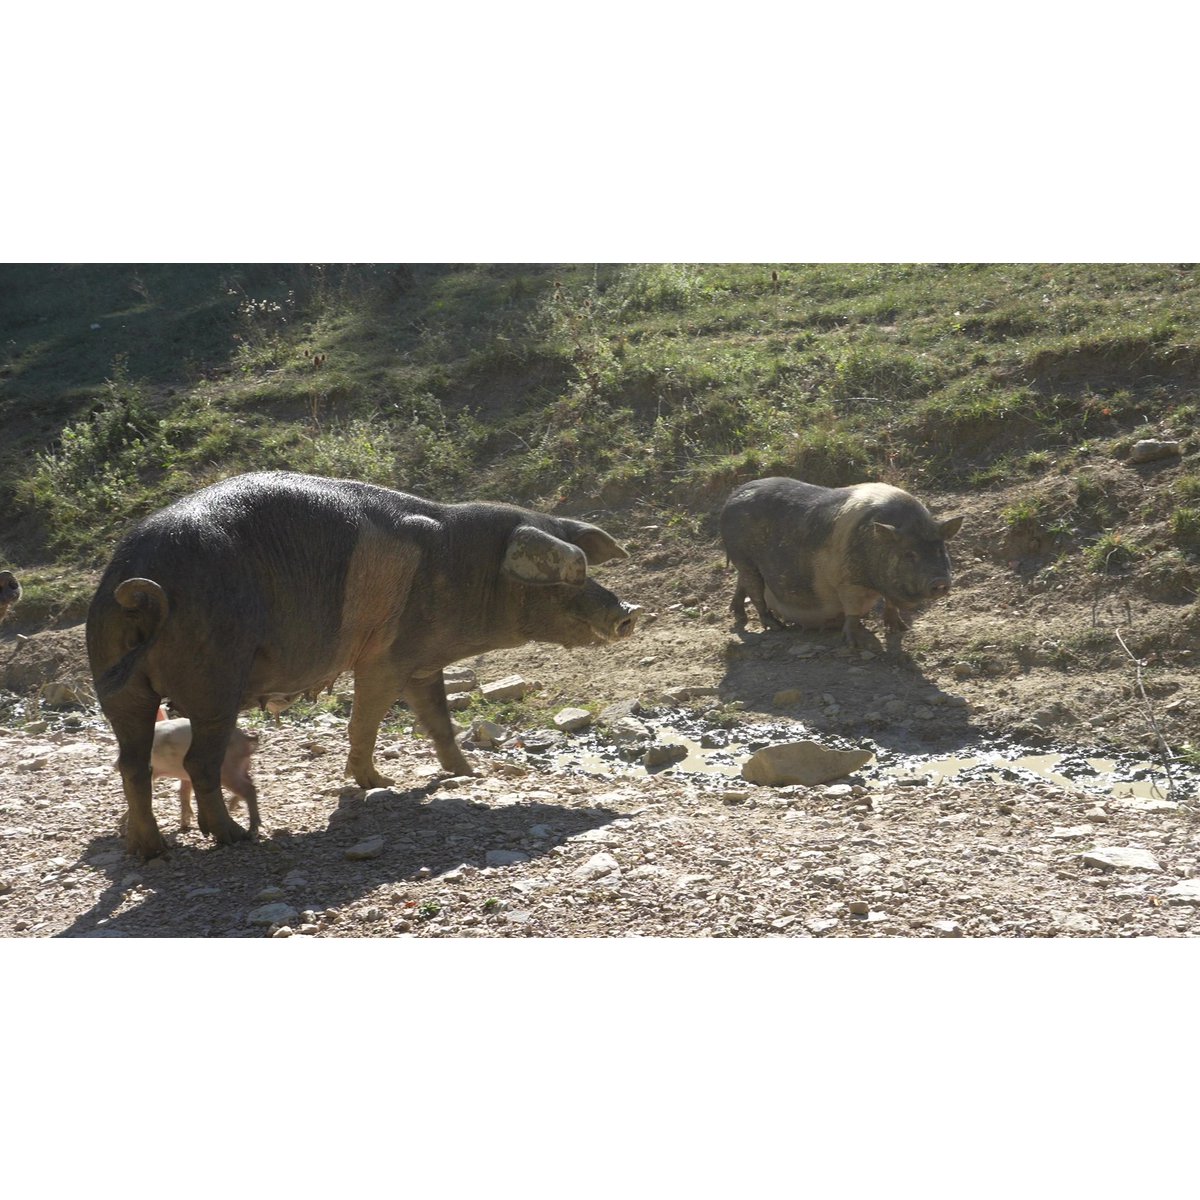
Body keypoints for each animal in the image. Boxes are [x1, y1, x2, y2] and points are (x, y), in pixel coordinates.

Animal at [86, 471, 641, 858]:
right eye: (569, 577)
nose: (628, 612)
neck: (467, 571)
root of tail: (140, 581)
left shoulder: (422, 662)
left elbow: (438, 720)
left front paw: (467, 773)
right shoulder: (386, 655)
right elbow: (366, 720)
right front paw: (381, 785)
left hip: (117, 682)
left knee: (131, 762)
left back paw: (150, 850)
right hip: (214, 677)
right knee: (199, 762)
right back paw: (232, 837)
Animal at [720, 477, 963, 648]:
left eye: (940, 549)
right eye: (909, 554)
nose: (940, 581)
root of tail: (731, 497)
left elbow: (890, 604)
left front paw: (900, 629)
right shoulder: (848, 581)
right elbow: (852, 610)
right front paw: (853, 643)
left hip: (743, 563)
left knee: (741, 584)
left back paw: (738, 614)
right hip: (744, 558)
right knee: (754, 590)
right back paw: (775, 627)